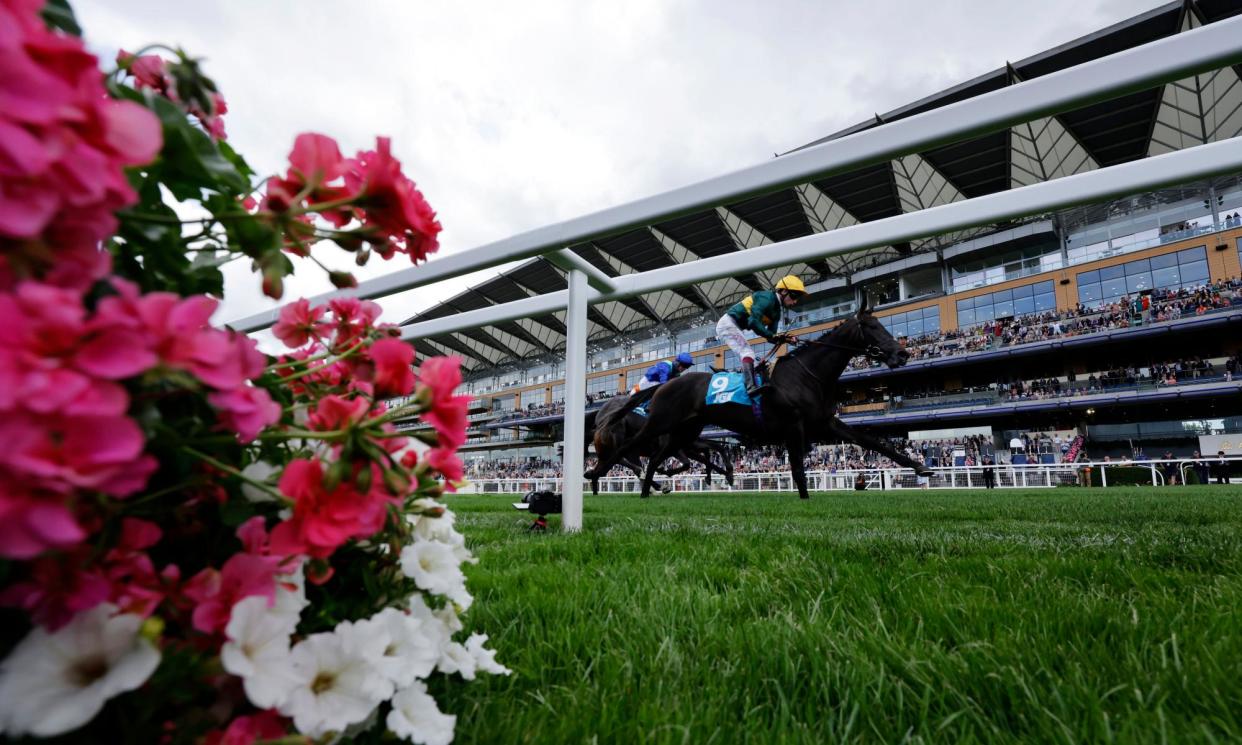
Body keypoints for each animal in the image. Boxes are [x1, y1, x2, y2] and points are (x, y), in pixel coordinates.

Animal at [588, 307, 933, 501]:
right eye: (873, 328)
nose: (902, 353)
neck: (805, 374)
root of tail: (665, 384)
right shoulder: (794, 425)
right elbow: (797, 466)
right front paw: (805, 498)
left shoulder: (825, 423)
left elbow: (872, 441)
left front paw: (919, 466)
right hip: (660, 424)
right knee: (629, 450)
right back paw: (597, 476)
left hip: (683, 432)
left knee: (657, 459)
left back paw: (648, 490)